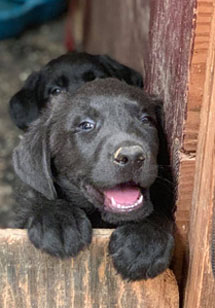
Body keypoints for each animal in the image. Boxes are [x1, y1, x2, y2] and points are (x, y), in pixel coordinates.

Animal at [12, 78, 175, 280]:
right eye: (86, 125)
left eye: (145, 120)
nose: (132, 156)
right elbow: (43, 195)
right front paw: (58, 221)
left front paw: (144, 241)